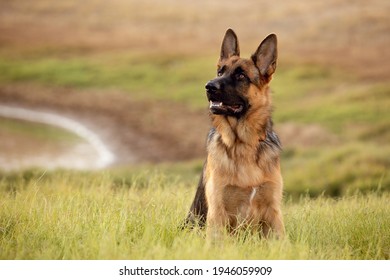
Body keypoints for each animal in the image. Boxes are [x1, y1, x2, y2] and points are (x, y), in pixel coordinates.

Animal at [184, 28, 284, 238]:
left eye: (241, 76)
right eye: (220, 71)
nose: (209, 86)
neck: (243, 144)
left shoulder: (273, 211)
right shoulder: (218, 211)